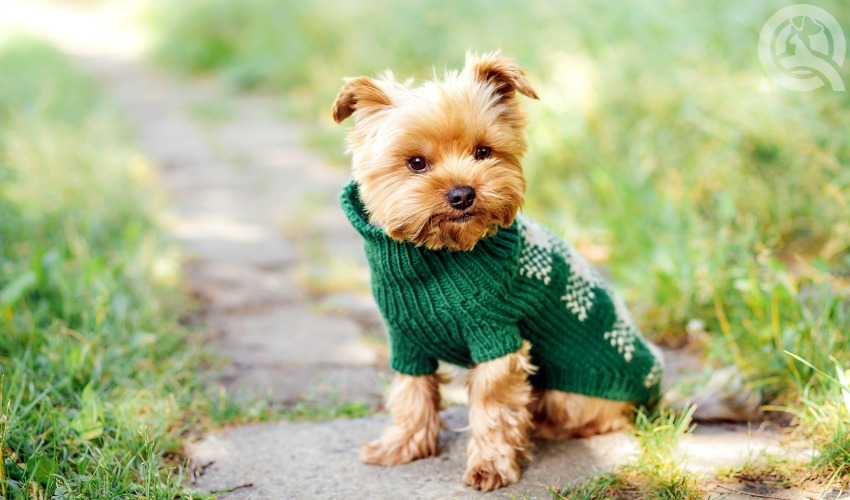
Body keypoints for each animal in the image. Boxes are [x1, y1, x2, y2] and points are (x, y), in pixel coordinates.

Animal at [330, 52, 664, 490]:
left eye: (484, 152)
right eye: (415, 163)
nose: (462, 193)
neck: (436, 256)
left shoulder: (496, 336)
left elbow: (493, 407)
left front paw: (490, 465)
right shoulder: (406, 340)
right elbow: (412, 392)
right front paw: (402, 446)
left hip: (575, 391)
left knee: (602, 418)